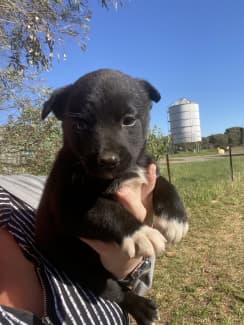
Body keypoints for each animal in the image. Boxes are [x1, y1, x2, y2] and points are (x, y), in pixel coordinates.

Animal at [36, 69, 188, 324]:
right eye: (80, 124)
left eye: (129, 120)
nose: (107, 160)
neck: (119, 176)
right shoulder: (67, 207)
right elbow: (106, 210)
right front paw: (140, 233)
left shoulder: (147, 168)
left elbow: (164, 183)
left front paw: (175, 218)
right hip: (79, 266)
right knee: (114, 291)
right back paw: (142, 308)